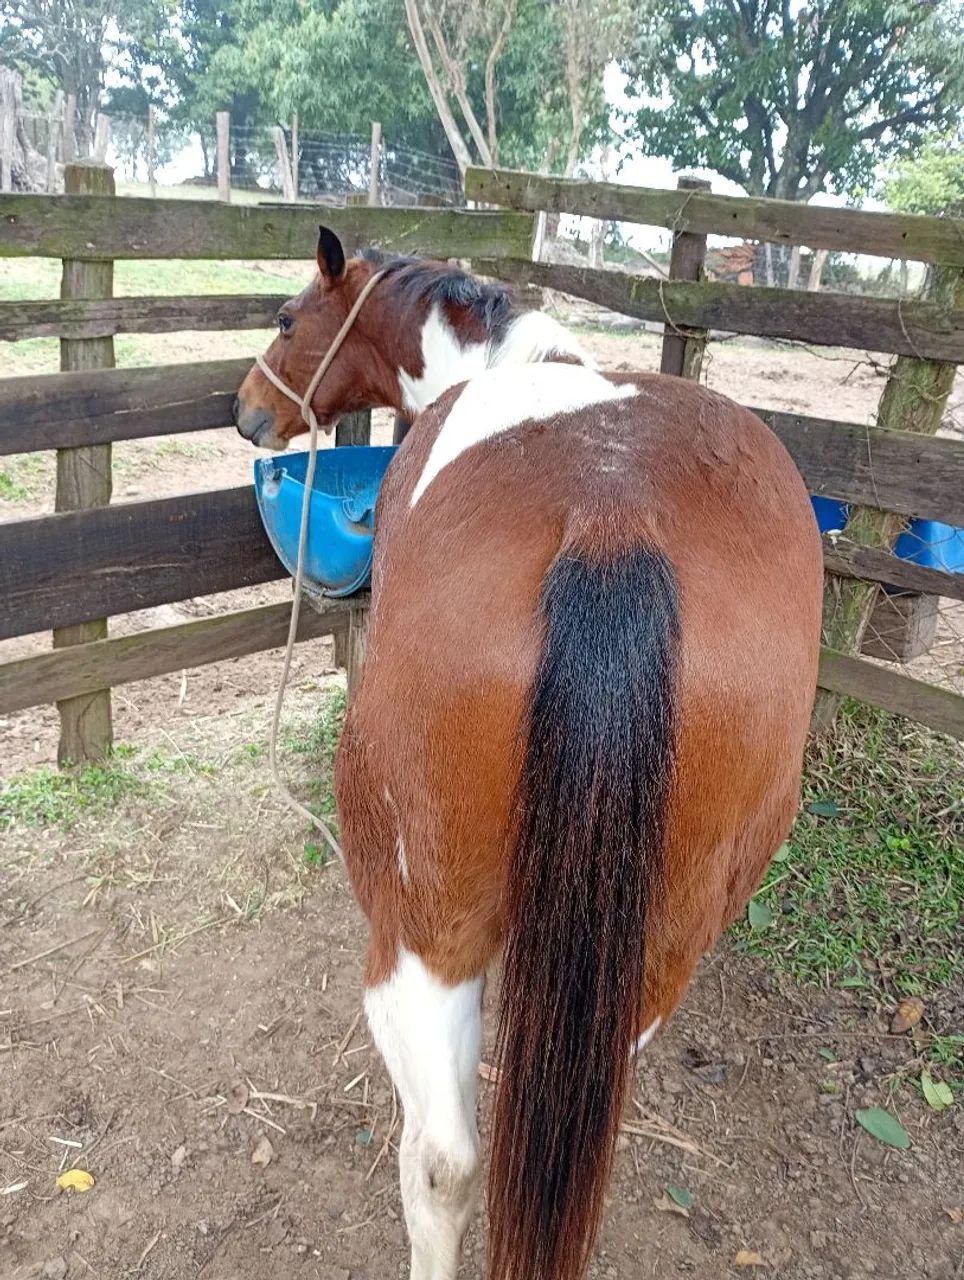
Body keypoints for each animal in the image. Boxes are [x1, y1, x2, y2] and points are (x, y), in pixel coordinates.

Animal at [234, 227, 824, 1280]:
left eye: (289, 317)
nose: (247, 411)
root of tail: (611, 519)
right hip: (656, 946)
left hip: (421, 932)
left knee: (444, 1162)